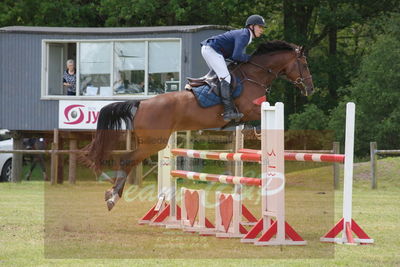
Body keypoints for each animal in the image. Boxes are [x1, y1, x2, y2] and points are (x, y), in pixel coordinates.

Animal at [86, 40, 314, 211]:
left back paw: (114, 195)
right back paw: (112, 197)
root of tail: (142, 103)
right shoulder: (250, 109)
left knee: (127, 160)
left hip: (150, 142)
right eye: (304, 64)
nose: (311, 89)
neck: (254, 76)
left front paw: (254, 133)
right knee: (126, 160)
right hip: (154, 143)